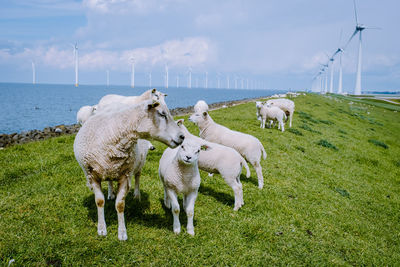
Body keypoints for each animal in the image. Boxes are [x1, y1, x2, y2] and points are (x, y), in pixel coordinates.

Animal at [74, 99, 185, 242]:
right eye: (162, 114)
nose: (182, 136)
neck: (113, 133)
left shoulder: (125, 175)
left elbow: (120, 205)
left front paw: (122, 233)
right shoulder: (92, 175)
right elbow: (99, 202)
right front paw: (102, 229)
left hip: (138, 164)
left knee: (137, 177)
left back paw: (136, 195)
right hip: (109, 169)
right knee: (110, 181)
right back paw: (110, 193)